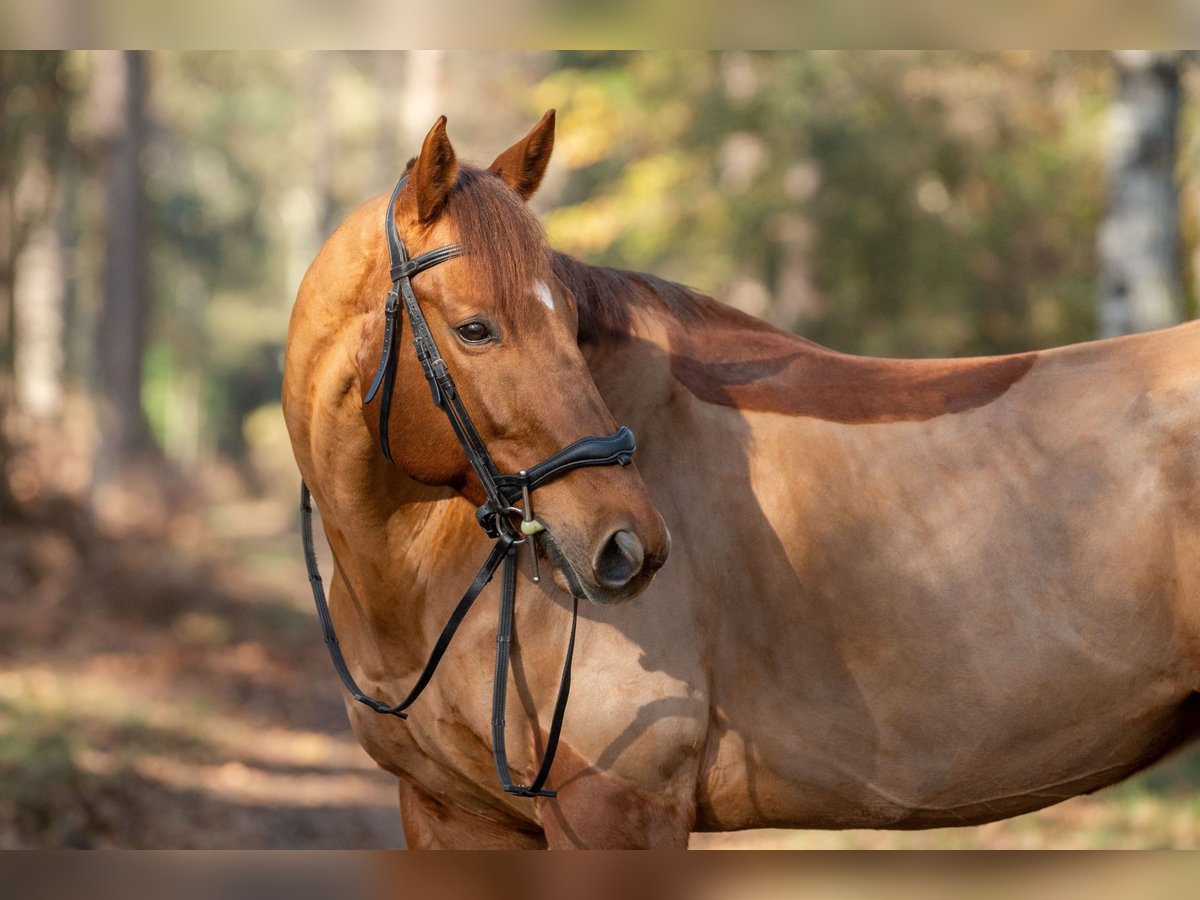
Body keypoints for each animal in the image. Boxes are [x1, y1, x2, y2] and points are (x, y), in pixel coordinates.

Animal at [283, 111, 1200, 844]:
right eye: (475, 329)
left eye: (572, 326)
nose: (628, 546)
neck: (423, 580)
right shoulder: (449, 814)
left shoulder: (618, 810)